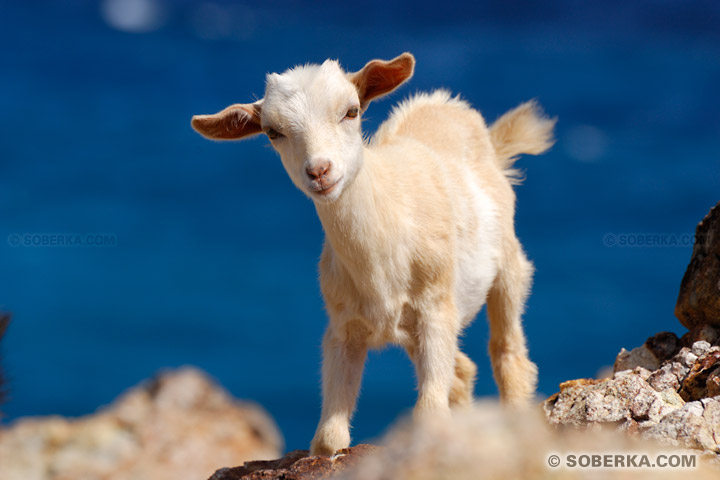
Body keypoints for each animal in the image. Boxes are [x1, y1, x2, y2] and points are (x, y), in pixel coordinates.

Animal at [193, 53, 556, 458]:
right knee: (462, 371)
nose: (319, 171)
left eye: (351, 111)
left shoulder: (436, 307)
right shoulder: (343, 327)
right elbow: (328, 439)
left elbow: (429, 414)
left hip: (508, 264)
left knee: (509, 352)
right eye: (272, 132)